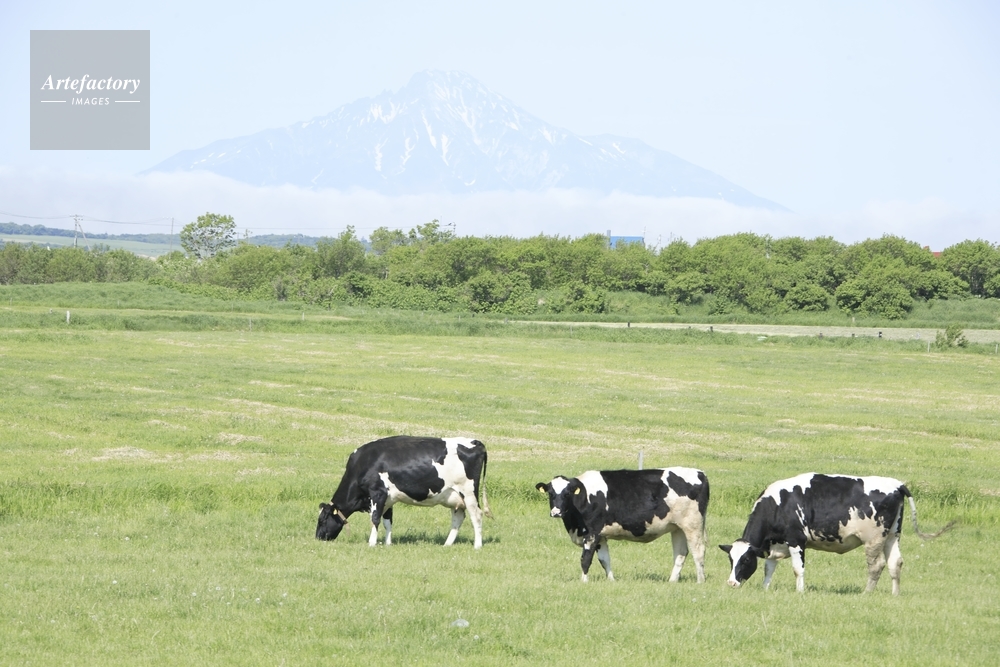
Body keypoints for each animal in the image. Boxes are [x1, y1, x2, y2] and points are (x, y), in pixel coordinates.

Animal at [316, 436, 492, 549]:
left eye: (322, 520)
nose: (318, 537)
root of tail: (475, 442)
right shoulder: (389, 498)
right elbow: (387, 521)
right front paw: (388, 543)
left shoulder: (378, 492)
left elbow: (375, 519)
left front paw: (372, 543)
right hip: (455, 497)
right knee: (458, 518)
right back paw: (447, 544)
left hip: (468, 492)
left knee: (476, 516)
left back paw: (477, 545)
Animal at [536, 468, 709, 583]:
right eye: (551, 493)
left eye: (567, 494)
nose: (556, 512)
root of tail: (700, 472)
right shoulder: (601, 536)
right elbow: (605, 560)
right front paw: (611, 581)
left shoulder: (591, 533)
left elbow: (585, 559)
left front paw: (583, 582)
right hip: (677, 527)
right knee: (680, 553)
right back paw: (672, 581)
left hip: (693, 524)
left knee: (698, 550)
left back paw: (700, 581)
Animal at [720, 473, 955, 595]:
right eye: (731, 560)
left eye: (746, 560)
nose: (731, 583)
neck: (779, 503)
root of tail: (897, 485)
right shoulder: (774, 545)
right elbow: (769, 568)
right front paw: (766, 589)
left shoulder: (796, 540)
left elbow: (798, 570)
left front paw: (800, 593)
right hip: (892, 536)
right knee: (895, 563)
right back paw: (894, 594)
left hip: (874, 539)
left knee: (877, 565)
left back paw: (866, 593)